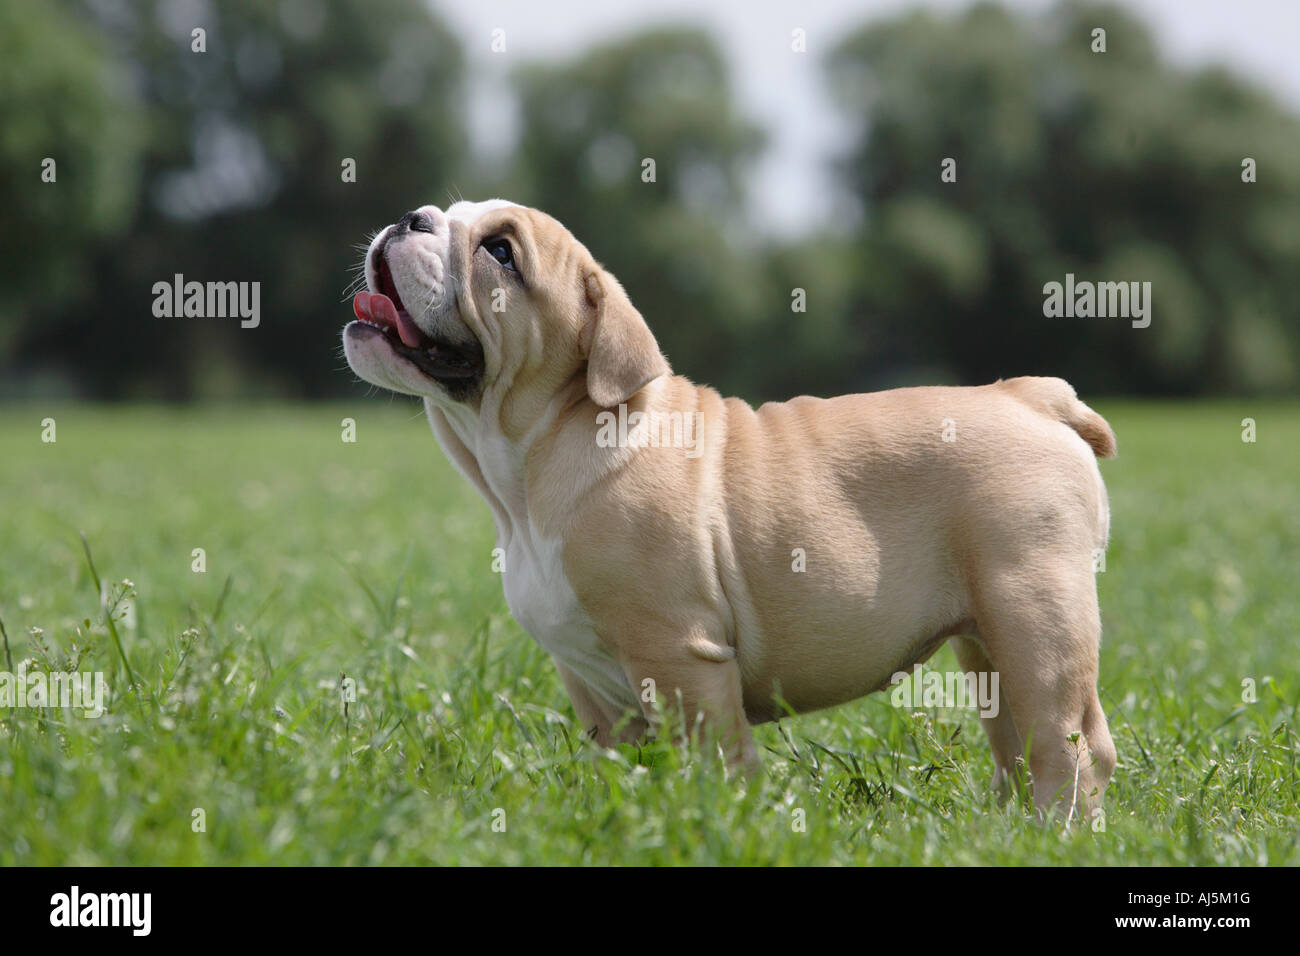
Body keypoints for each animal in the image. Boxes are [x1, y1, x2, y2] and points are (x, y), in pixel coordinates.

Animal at [343, 197, 1118, 816]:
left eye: (499, 251)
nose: (410, 217)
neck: (532, 460)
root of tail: (1032, 396)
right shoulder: (592, 684)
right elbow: (622, 764)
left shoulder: (679, 654)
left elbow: (715, 761)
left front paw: (723, 821)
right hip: (986, 640)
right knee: (1016, 738)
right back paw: (1009, 824)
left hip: (1035, 612)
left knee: (1071, 742)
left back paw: (1055, 832)